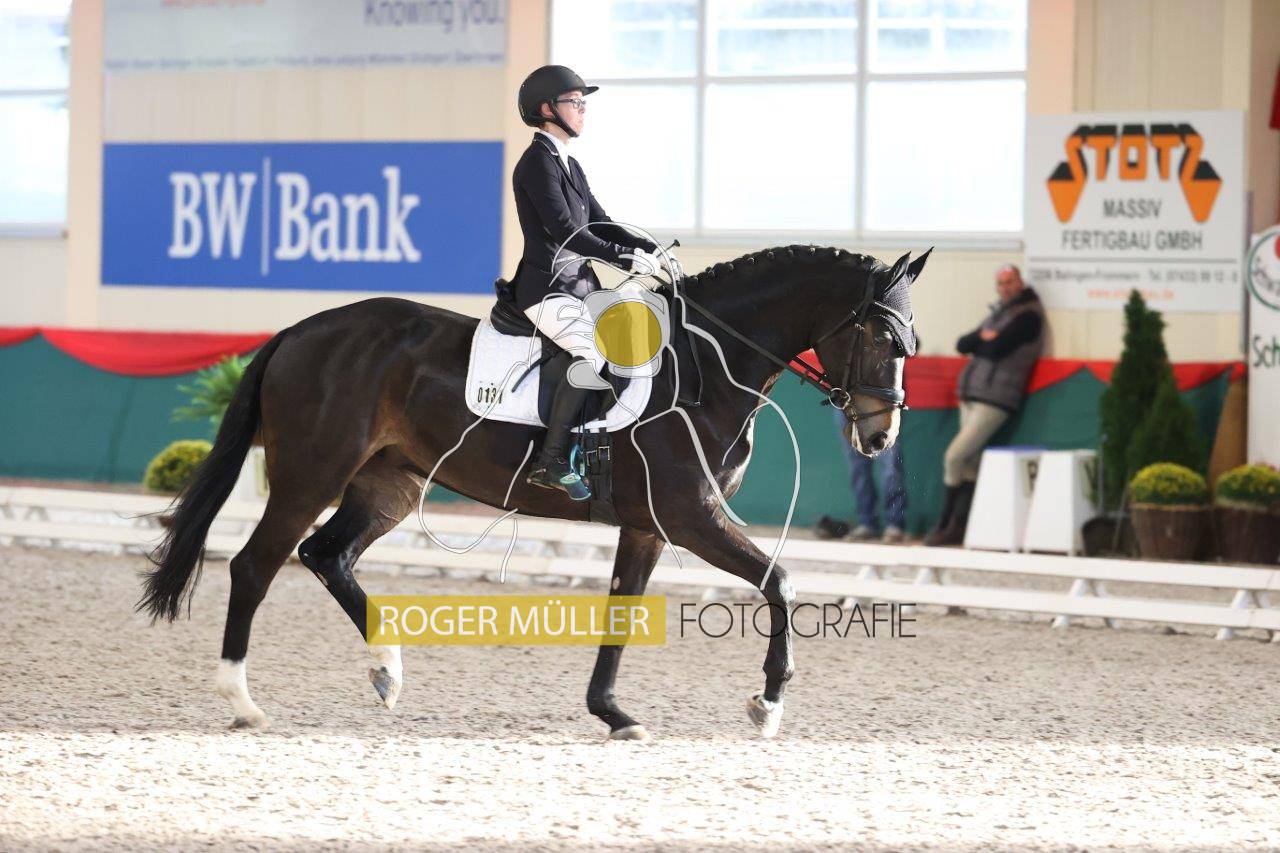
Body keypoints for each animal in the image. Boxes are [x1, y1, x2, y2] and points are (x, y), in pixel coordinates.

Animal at [138, 243, 928, 739]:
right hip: (312, 476)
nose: (881, 435)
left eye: (911, 343)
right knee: (256, 564)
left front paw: (612, 713)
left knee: (326, 555)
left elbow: (621, 613)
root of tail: (299, 330)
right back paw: (242, 701)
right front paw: (766, 704)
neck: (706, 364)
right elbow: (781, 582)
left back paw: (387, 670)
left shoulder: (648, 525)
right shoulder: (691, 515)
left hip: (387, 485)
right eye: (882, 339)